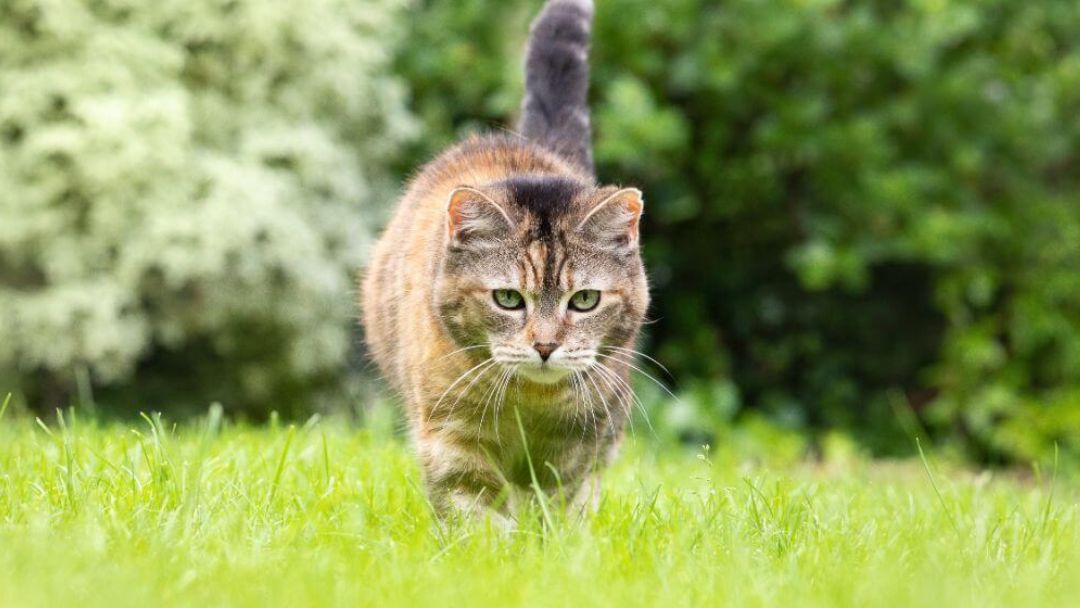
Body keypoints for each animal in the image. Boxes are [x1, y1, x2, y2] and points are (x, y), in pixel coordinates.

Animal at [362, 0, 648, 522]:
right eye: (508, 298)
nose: (545, 346)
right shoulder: (452, 439)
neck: (530, 401)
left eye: (585, 300)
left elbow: (561, 506)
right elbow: (477, 514)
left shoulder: (579, 446)